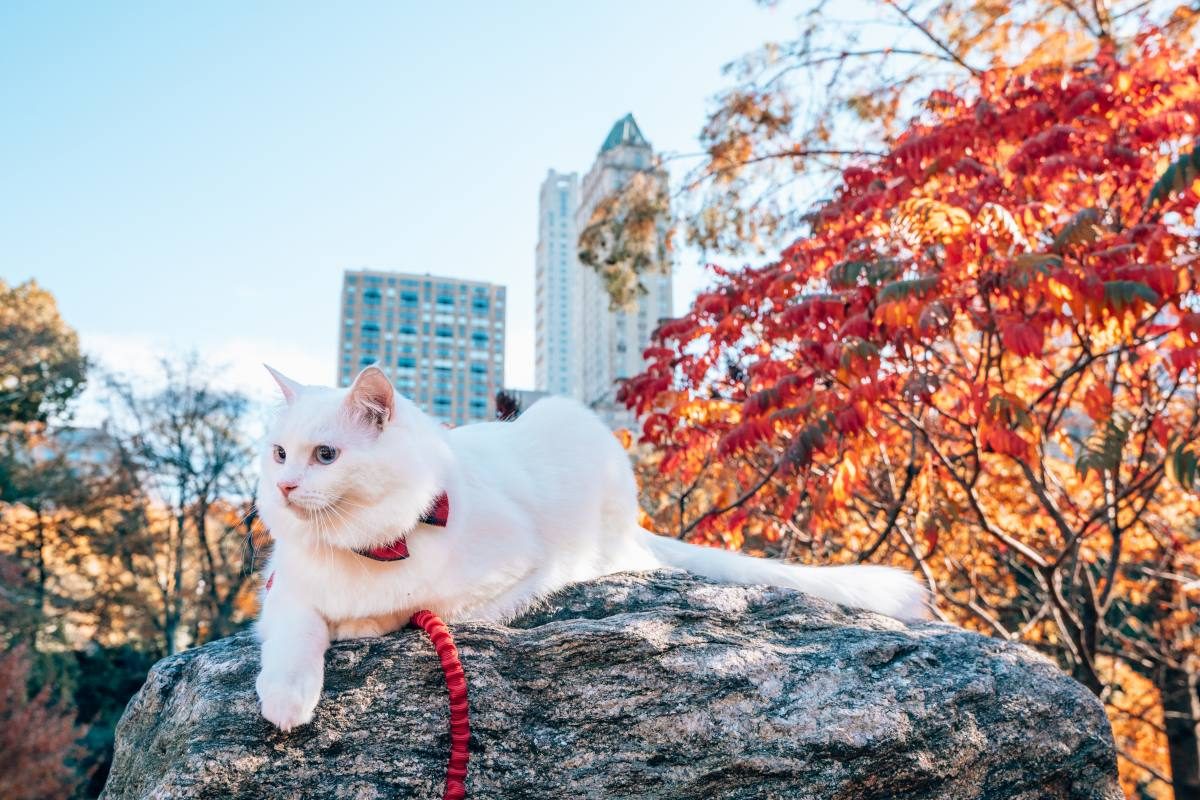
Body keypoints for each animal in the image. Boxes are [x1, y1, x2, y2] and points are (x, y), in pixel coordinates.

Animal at [253, 367, 926, 734]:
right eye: (280, 454)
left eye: (326, 456)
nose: (283, 487)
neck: (366, 545)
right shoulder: (285, 590)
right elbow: (294, 635)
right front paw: (287, 697)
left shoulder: (512, 571)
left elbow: (407, 606)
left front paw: (358, 624)